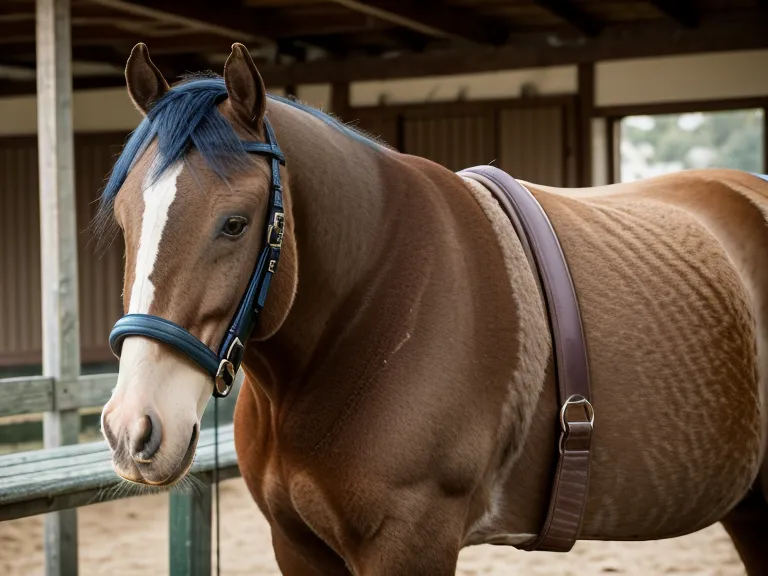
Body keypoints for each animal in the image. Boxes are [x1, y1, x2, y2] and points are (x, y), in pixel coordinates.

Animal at [98, 42, 768, 575]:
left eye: (234, 223)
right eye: (125, 219)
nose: (134, 428)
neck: (373, 310)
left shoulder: (410, 542)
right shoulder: (297, 545)